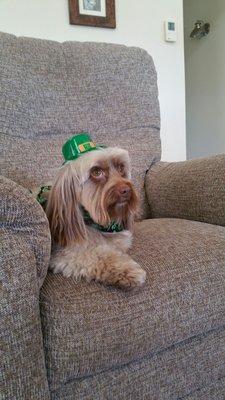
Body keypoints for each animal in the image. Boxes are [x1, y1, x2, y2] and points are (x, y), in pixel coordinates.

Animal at [46, 142, 147, 290]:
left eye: (121, 168)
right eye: (96, 172)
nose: (126, 190)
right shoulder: (63, 253)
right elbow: (97, 255)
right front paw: (127, 269)